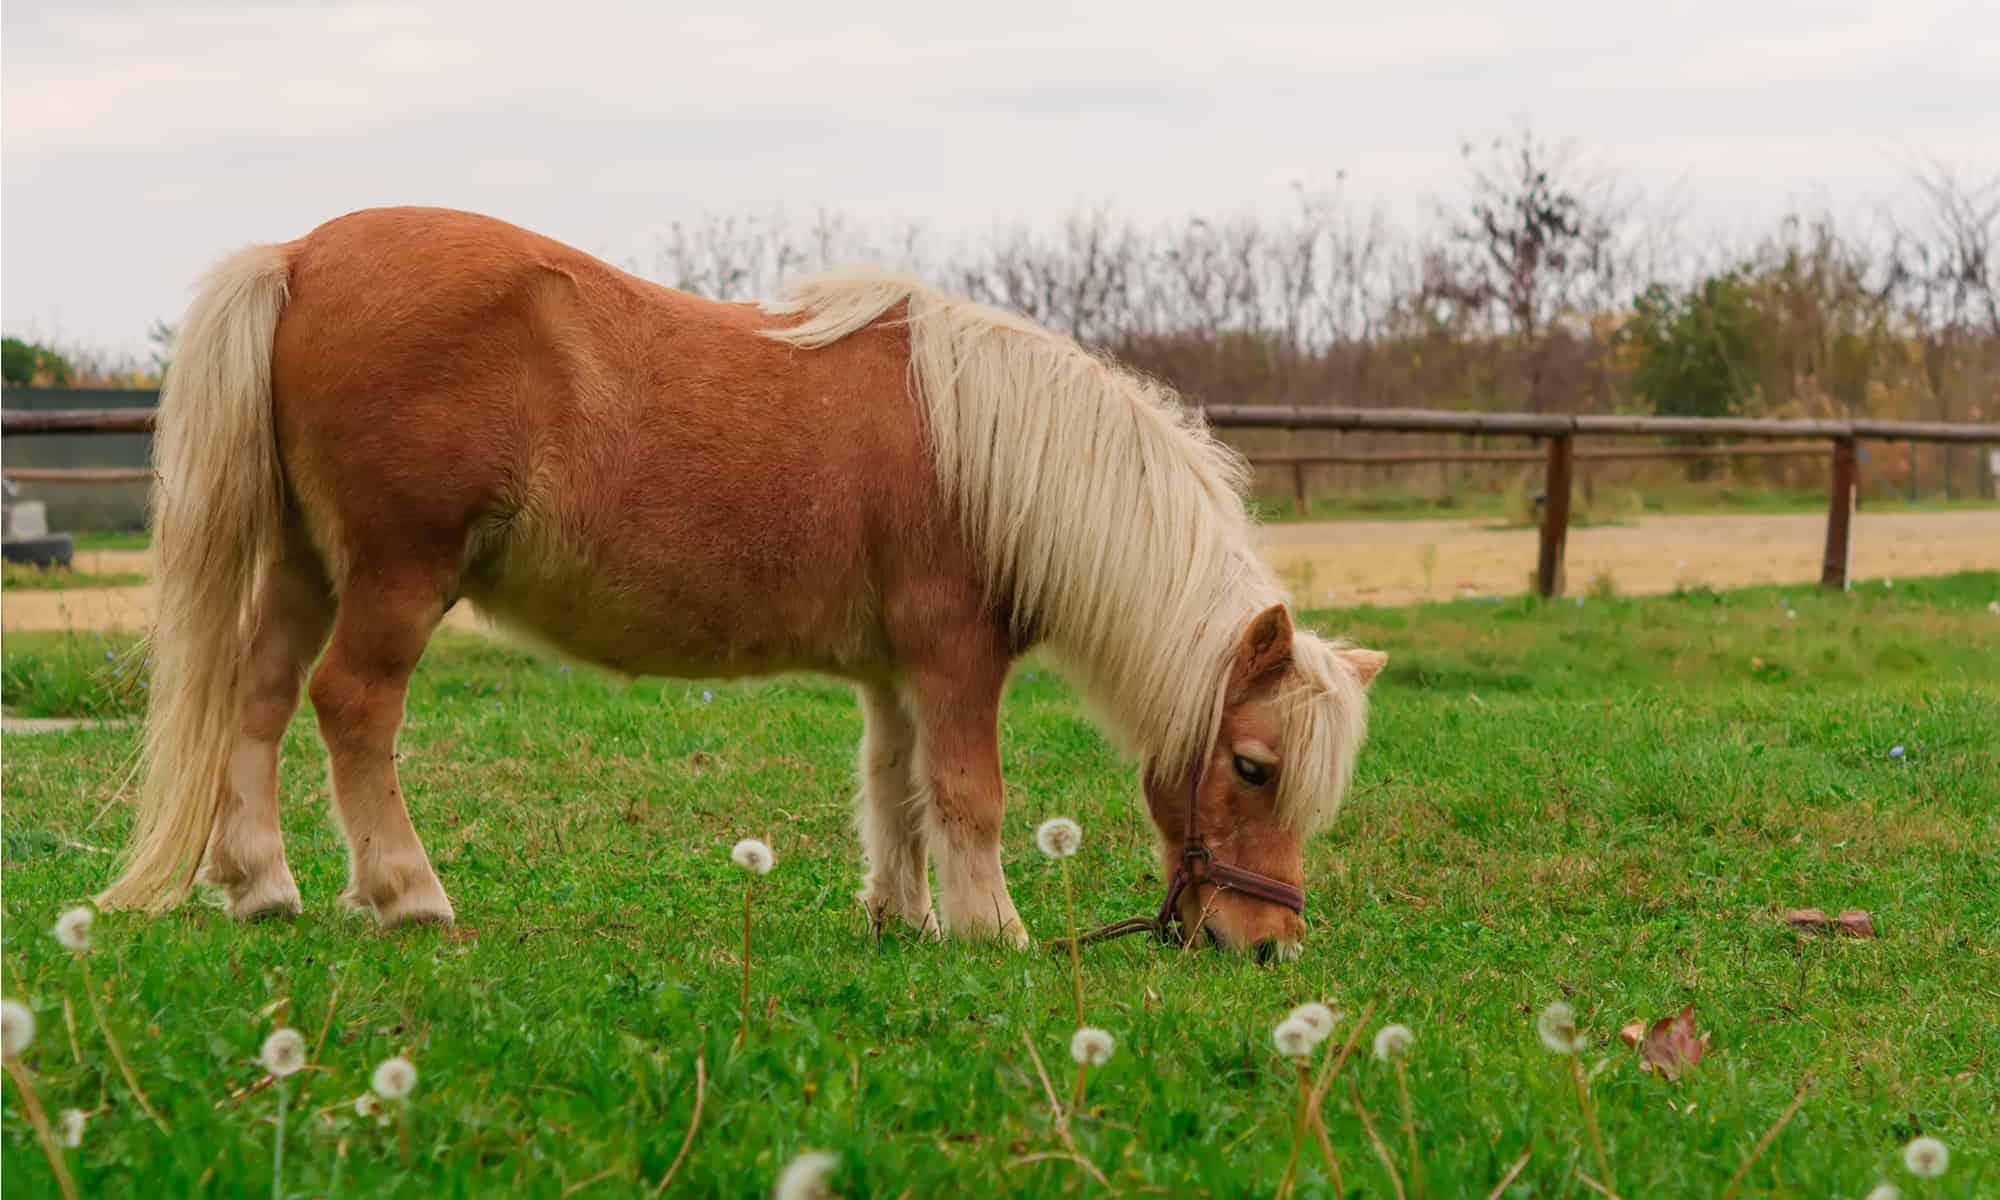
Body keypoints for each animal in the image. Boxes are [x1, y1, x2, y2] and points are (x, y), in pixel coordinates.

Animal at [95, 206, 1386, 959]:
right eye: (1252, 766)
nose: (1265, 946)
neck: (996, 455)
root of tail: (300, 256)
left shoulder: (894, 676)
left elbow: (894, 790)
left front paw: (903, 917)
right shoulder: (953, 660)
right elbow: (968, 794)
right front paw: (992, 929)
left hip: (307, 567)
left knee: (258, 700)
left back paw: (261, 885)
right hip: (396, 577)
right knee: (350, 707)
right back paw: (407, 893)